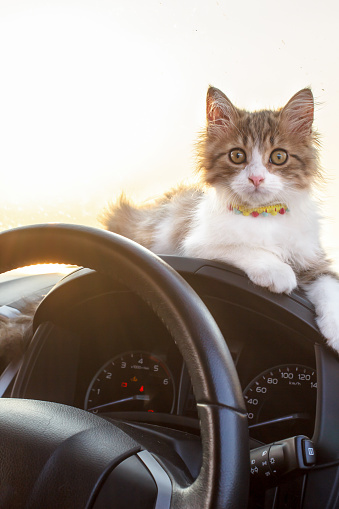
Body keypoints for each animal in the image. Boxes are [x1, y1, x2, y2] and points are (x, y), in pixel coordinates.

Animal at [101, 84, 339, 354]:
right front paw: (278, 271)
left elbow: (330, 284)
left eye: (279, 157)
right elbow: (245, 248)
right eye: (237, 155)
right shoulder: (196, 244)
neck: (262, 214)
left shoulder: (313, 257)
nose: (256, 179)